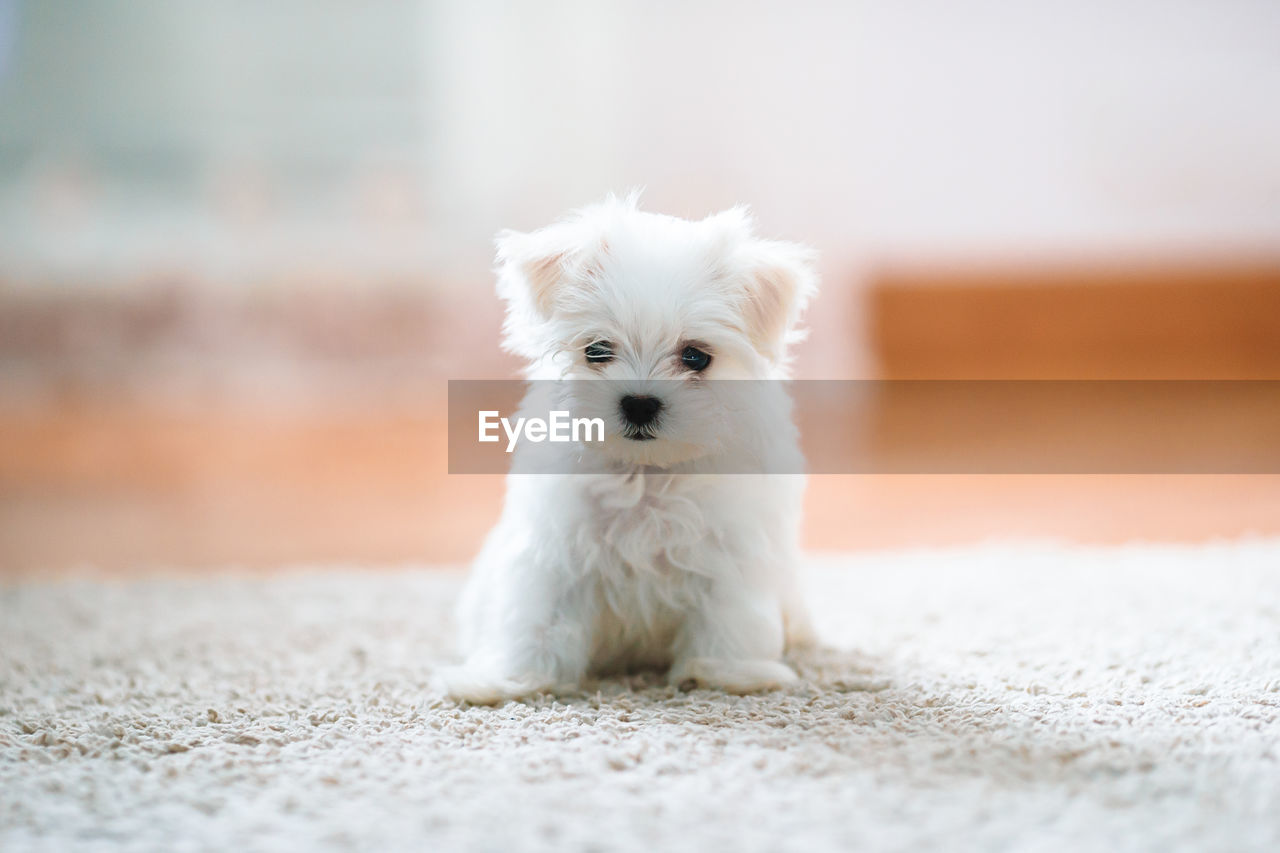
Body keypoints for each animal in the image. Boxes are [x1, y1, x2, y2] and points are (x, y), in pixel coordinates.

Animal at [440, 195, 819, 701]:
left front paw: (726, 674)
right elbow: (537, 621)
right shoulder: (556, 551)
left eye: (695, 357)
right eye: (597, 350)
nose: (640, 403)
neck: (646, 475)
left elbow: (730, 617)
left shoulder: (731, 549)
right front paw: (510, 680)